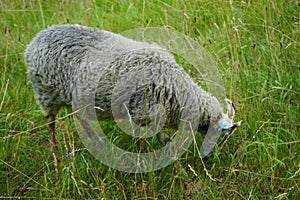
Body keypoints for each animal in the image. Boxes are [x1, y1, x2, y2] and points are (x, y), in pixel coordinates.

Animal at [24, 24, 241, 159]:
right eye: (223, 136)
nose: (209, 157)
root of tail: (34, 41)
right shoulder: (140, 113)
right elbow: (143, 140)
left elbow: (160, 135)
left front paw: (167, 146)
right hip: (45, 93)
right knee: (50, 124)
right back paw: (56, 156)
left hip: (74, 99)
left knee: (80, 118)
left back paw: (97, 142)